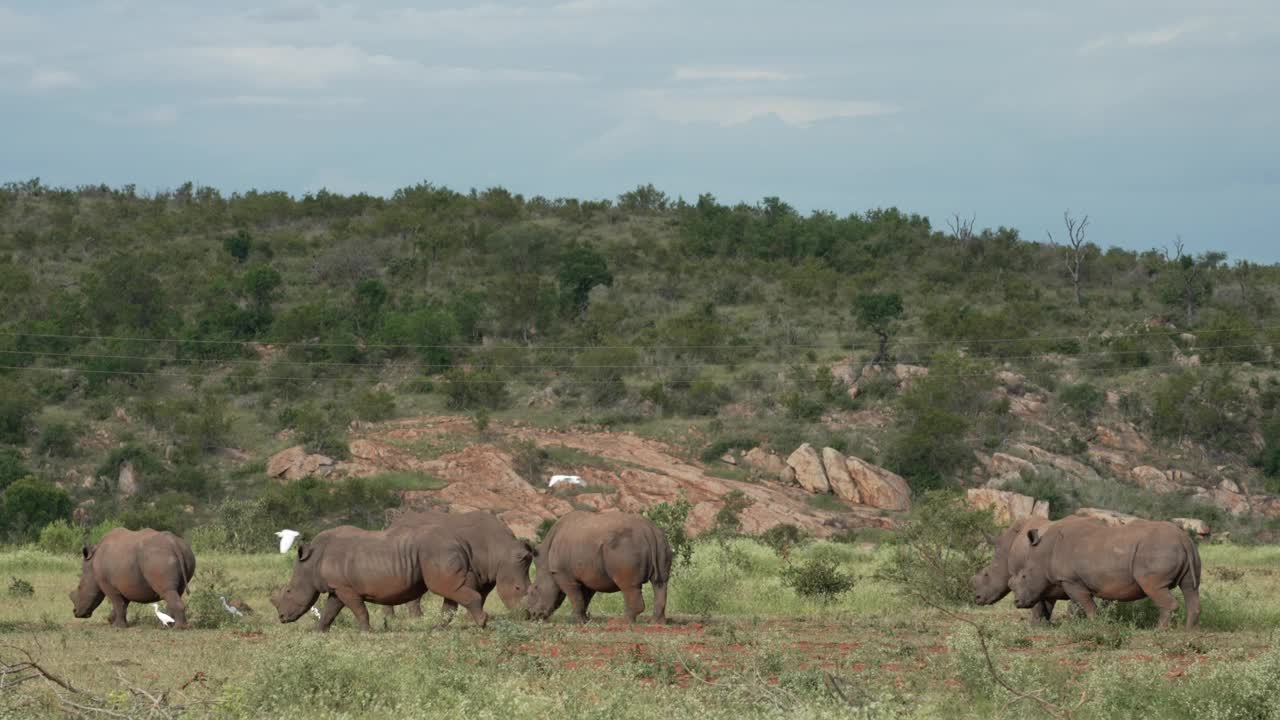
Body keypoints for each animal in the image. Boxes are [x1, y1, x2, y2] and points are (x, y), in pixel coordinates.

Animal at [524, 509, 675, 622]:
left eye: (534, 590)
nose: (531, 615)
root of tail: (649, 531)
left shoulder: (563, 573)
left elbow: (575, 596)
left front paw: (578, 621)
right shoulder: (588, 574)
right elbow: (584, 597)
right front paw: (585, 620)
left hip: (625, 546)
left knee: (628, 585)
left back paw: (623, 622)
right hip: (661, 541)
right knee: (660, 583)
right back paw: (656, 623)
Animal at [1008, 515, 1198, 627]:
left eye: (1024, 576)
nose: (1017, 602)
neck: (1043, 554)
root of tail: (1183, 538)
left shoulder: (1071, 580)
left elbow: (1086, 605)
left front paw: (1095, 626)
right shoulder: (1057, 582)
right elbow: (1051, 603)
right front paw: (1044, 625)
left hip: (1156, 550)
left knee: (1154, 587)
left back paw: (1159, 631)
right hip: (1185, 549)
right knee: (1190, 588)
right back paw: (1188, 631)